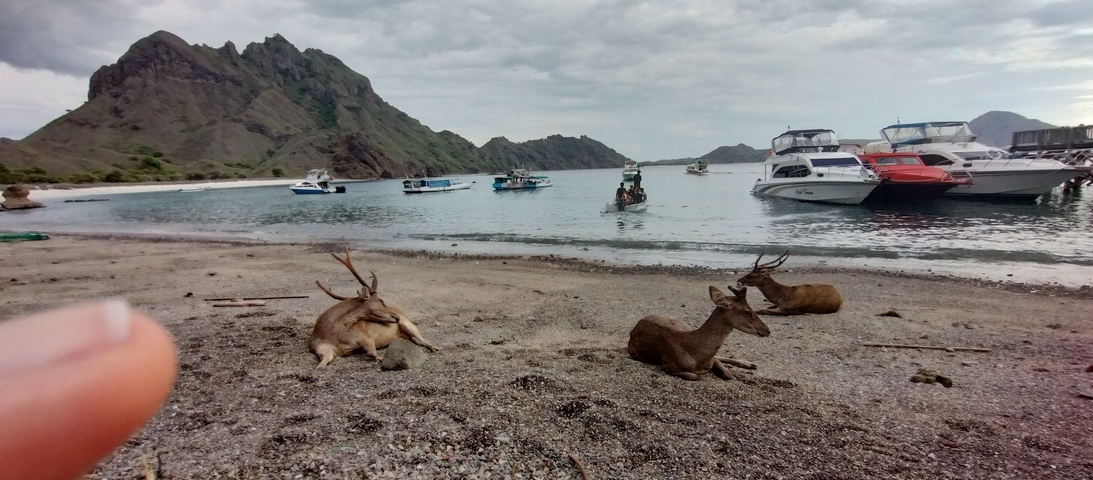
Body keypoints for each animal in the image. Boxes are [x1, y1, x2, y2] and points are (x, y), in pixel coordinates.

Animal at [307, 247, 439, 367]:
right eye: (381, 300)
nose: (396, 317)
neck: (332, 333)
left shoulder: (365, 338)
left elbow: (372, 353)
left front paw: (381, 358)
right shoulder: (322, 349)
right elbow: (321, 364)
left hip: (408, 324)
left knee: (423, 339)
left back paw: (435, 347)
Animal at [627, 285, 770, 381]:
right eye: (747, 311)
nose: (767, 330)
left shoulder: (711, 359)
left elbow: (728, 373)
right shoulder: (668, 364)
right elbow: (695, 376)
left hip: (683, 324)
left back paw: (750, 364)